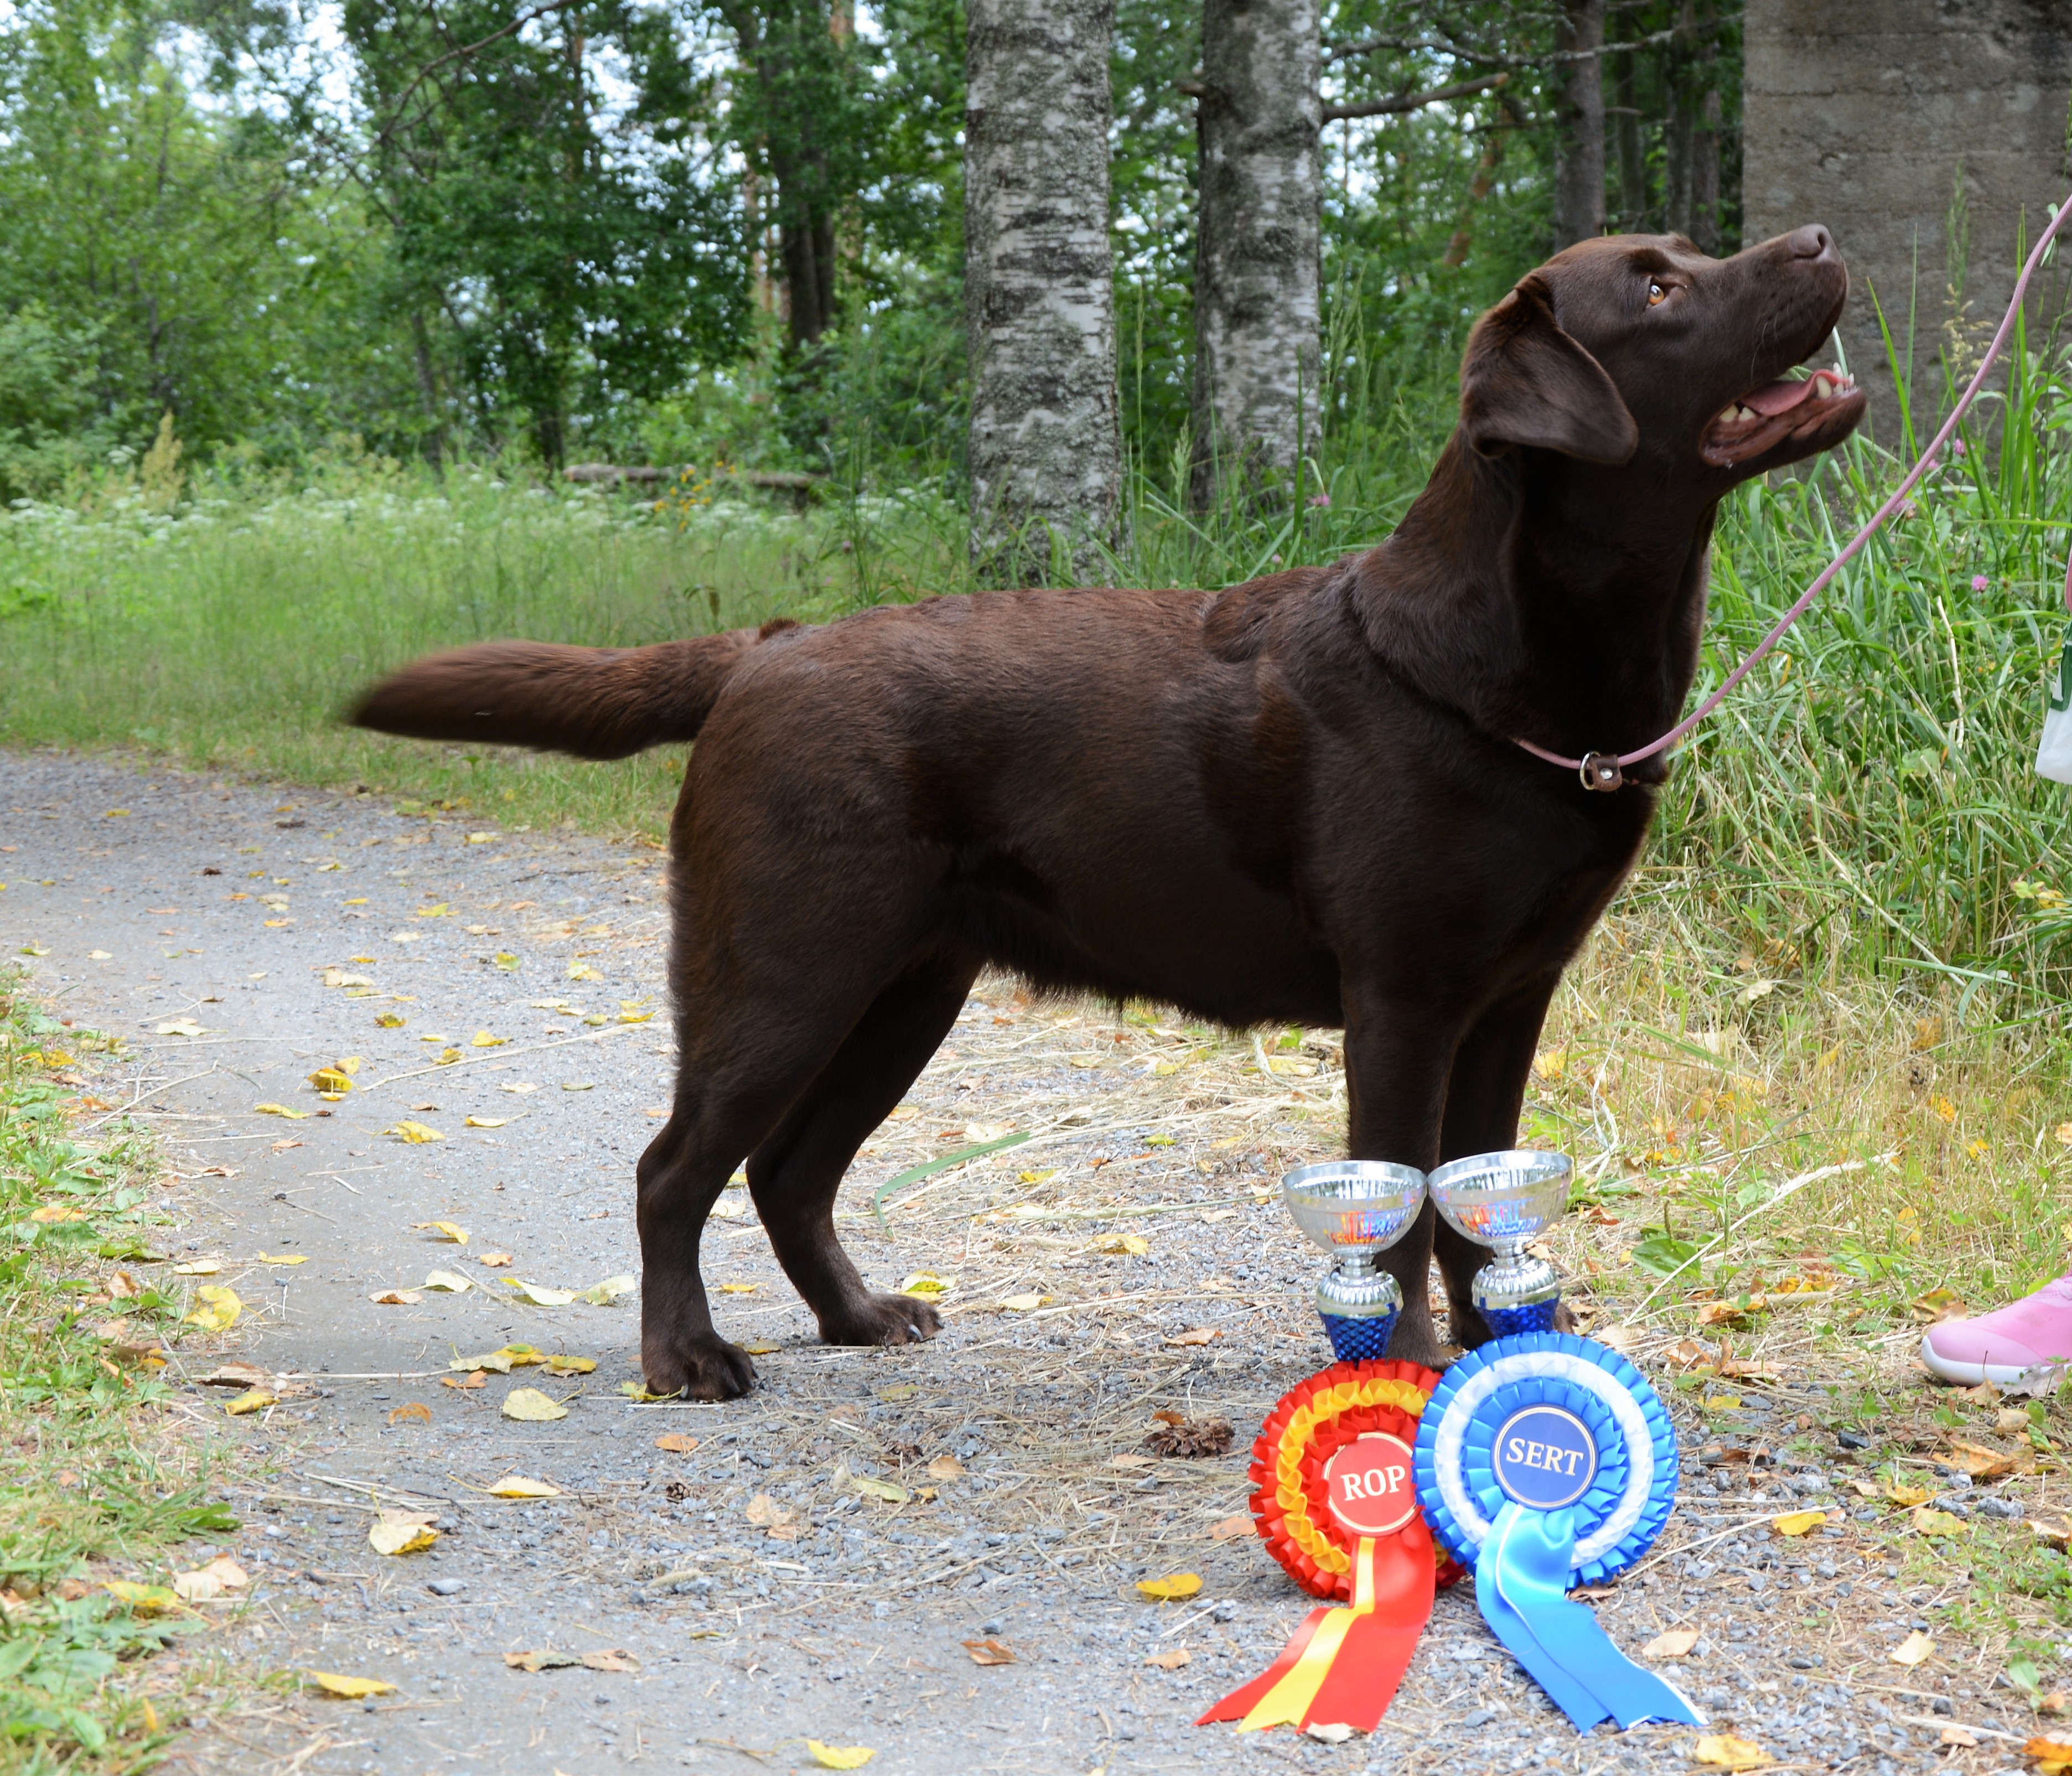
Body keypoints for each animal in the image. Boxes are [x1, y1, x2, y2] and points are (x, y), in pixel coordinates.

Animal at [352, 225, 1864, 1400]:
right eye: (1655, 288)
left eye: (1689, 253)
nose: (1814, 242)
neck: (1495, 671)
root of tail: (761, 649)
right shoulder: (1402, 1001)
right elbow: (1389, 1215)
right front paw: (1405, 1376)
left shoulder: (1509, 997)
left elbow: (1465, 1210)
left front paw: (1499, 1358)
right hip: (782, 970)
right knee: (677, 1165)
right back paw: (688, 1359)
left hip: (908, 986)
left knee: (790, 1170)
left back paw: (858, 1317)